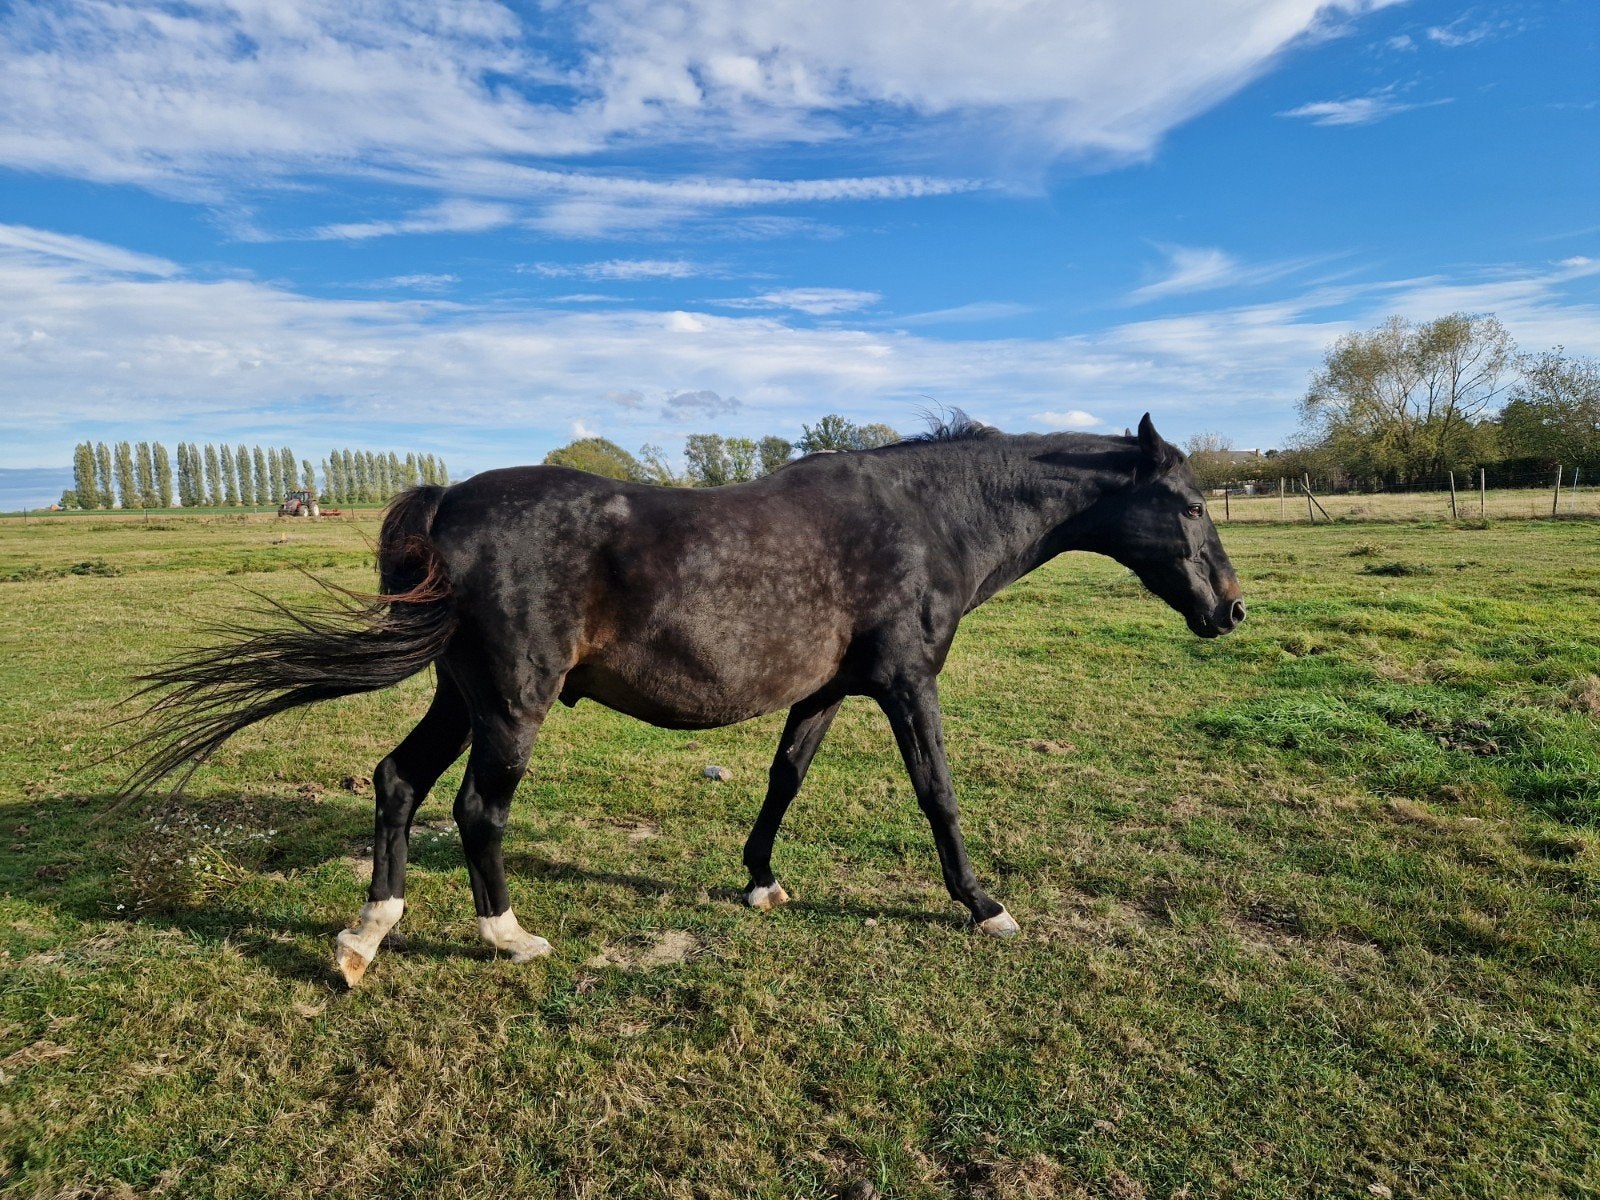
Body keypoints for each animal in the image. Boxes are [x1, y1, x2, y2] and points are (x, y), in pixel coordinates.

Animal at [127, 413, 1244, 986]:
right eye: (1191, 503)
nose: (1229, 610)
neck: (925, 519)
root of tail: (447, 503)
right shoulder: (904, 683)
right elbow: (938, 796)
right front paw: (984, 904)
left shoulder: (828, 691)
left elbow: (783, 780)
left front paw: (759, 880)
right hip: (513, 703)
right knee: (477, 811)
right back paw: (507, 937)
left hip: (462, 693)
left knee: (398, 782)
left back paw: (367, 937)